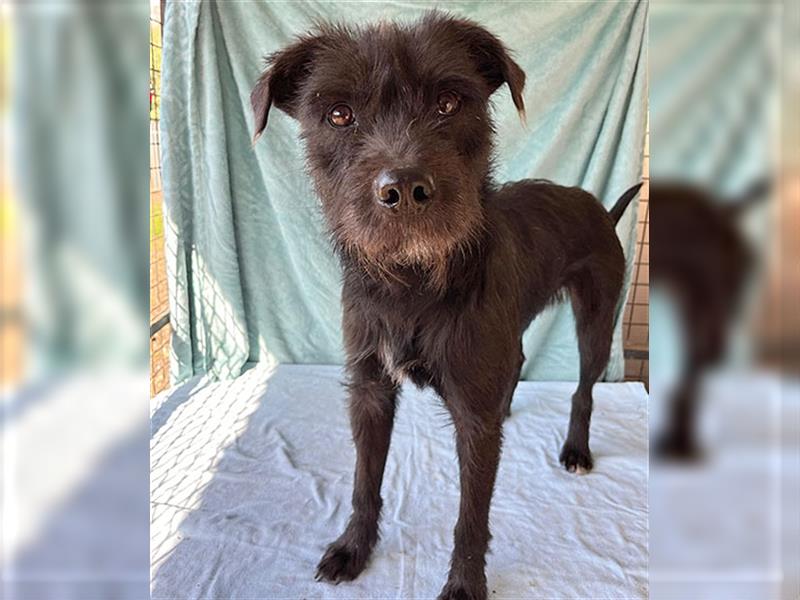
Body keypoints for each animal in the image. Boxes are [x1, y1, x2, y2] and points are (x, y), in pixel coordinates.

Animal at [253, 14, 640, 600]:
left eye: (449, 103)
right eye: (339, 114)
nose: (404, 189)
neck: (412, 282)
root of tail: (601, 208)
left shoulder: (472, 420)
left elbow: (471, 516)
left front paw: (463, 584)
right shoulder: (370, 388)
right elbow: (364, 480)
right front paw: (353, 548)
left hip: (597, 316)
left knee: (584, 389)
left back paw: (576, 449)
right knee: (517, 360)